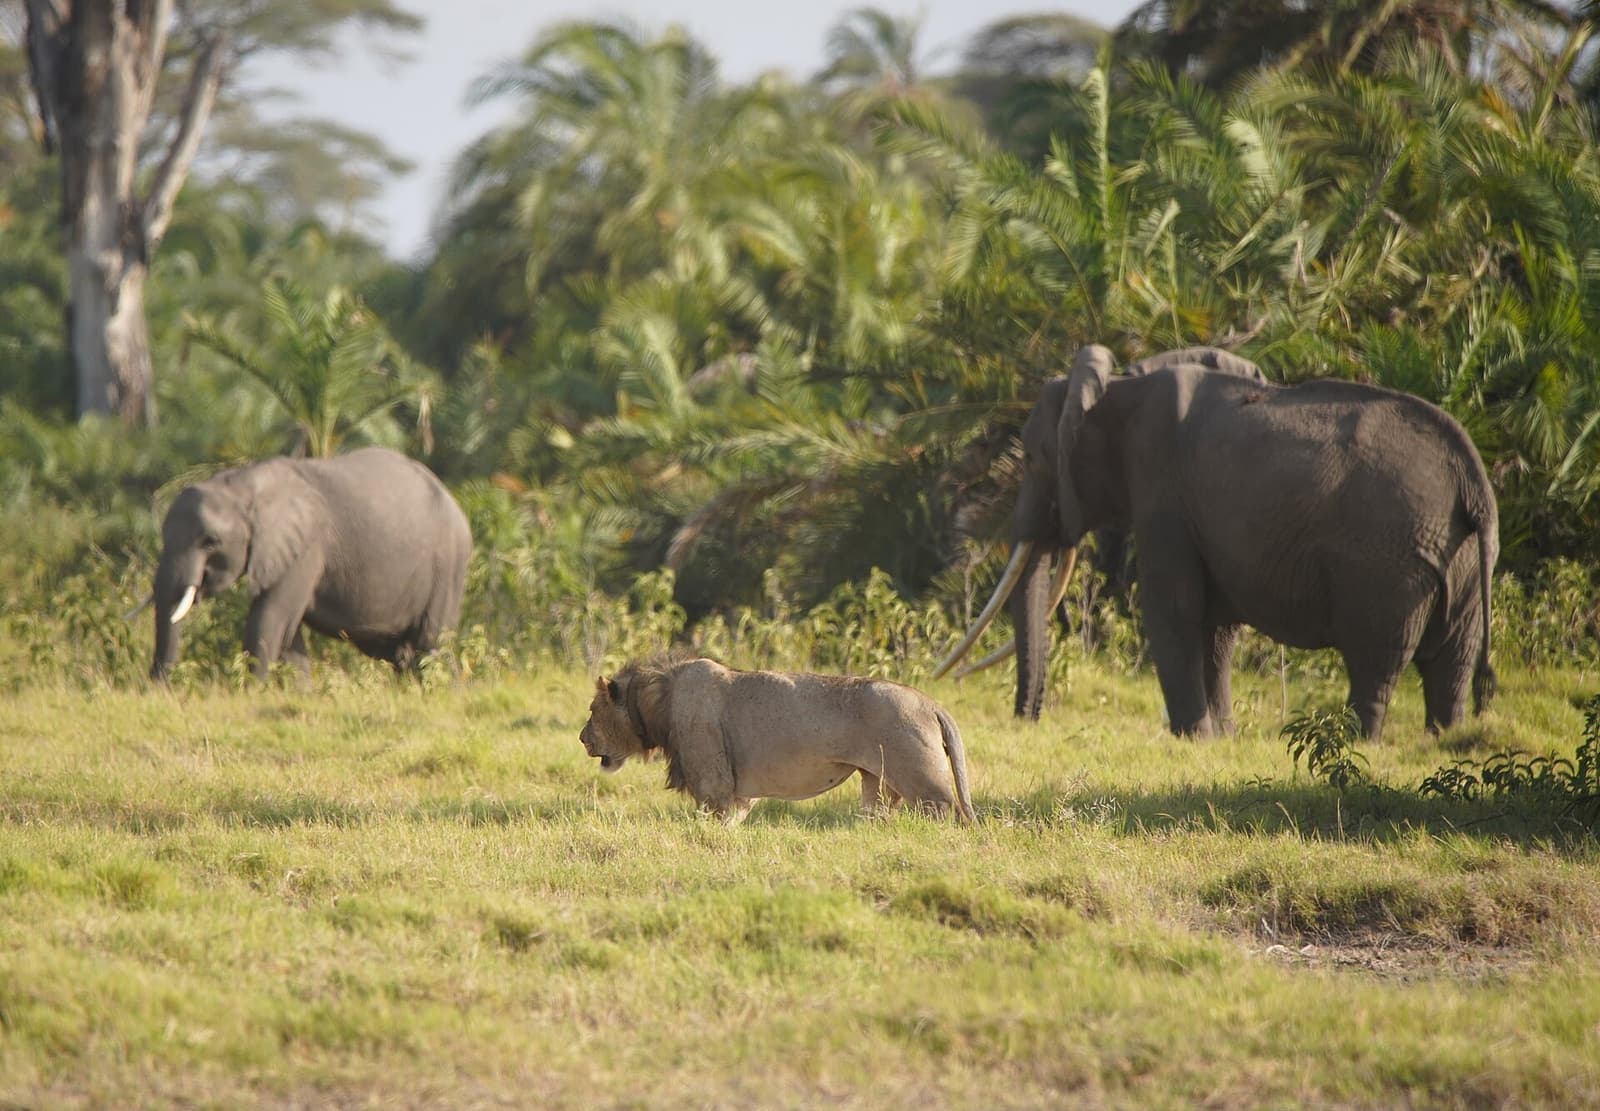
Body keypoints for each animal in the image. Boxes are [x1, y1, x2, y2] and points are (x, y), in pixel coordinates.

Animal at [148, 446, 472, 680]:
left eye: (210, 541)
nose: (156, 687)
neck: (241, 485)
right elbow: (288, 635)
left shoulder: (304, 548)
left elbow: (271, 618)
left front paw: (251, 690)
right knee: (398, 651)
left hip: (448, 564)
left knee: (430, 643)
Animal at [578, 655, 976, 825]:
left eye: (593, 710)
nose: (582, 739)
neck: (657, 700)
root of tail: (931, 703)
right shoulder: (738, 794)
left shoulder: (714, 786)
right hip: (876, 781)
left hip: (921, 778)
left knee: (950, 811)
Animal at [935, 345, 1497, 739]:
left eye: (1034, 458)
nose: (1027, 719)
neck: (1119, 387)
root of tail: (1473, 479)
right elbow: (1216, 624)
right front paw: (1222, 737)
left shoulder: (1163, 490)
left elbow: (1172, 609)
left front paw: (1193, 739)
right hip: (1459, 558)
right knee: (1451, 661)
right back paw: (1441, 739)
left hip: (1387, 561)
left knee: (1376, 661)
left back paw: (1363, 740)